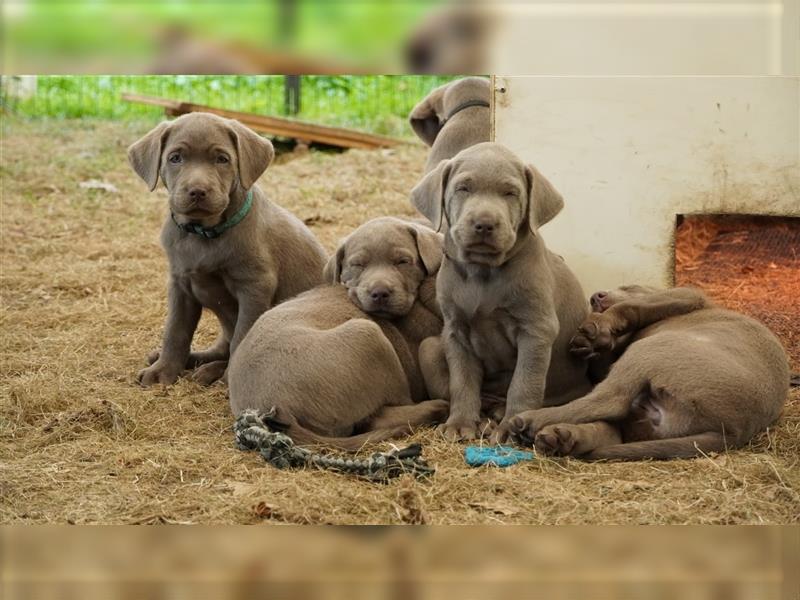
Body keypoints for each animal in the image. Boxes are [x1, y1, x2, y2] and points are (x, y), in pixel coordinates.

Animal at [127, 110, 324, 386]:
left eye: (222, 159)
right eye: (175, 158)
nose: (198, 191)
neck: (202, 234)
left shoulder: (255, 287)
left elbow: (243, 336)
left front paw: (231, 378)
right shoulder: (180, 285)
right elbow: (175, 331)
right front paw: (163, 370)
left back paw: (212, 371)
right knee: (222, 346)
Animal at [228, 217, 446, 450]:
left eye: (403, 262)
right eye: (358, 265)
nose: (379, 293)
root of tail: (274, 408)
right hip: (368, 335)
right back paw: (435, 408)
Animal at [412, 141, 592, 440]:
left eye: (510, 193)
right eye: (463, 188)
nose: (484, 223)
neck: (482, 273)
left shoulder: (536, 329)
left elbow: (524, 382)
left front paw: (510, 427)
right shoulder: (455, 330)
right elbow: (462, 380)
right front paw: (460, 423)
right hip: (428, 347)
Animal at [510, 286, 792, 460]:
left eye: (628, 285)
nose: (595, 297)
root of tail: (733, 431)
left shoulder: (686, 294)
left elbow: (630, 306)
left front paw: (596, 330)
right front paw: (592, 341)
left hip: (651, 350)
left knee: (610, 401)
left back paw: (531, 420)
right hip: (642, 415)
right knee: (611, 426)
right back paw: (561, 437)